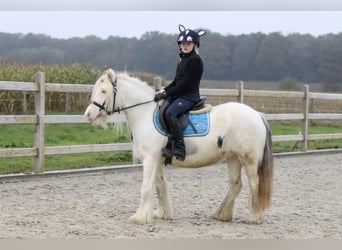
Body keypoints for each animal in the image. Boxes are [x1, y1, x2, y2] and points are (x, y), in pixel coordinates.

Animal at [85, 68, 276, 225]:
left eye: (104, 91)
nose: (88, 114)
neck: (144, 114)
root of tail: (257, 115)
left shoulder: (150, 159)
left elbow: (146, 187)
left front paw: (139, 217)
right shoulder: (158, 160)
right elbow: (160, 186)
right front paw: (162, 213)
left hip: (249, 160)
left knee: (255, 184)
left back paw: (254, 217)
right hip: (233, 158)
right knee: (235, 185)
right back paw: (221, 215)